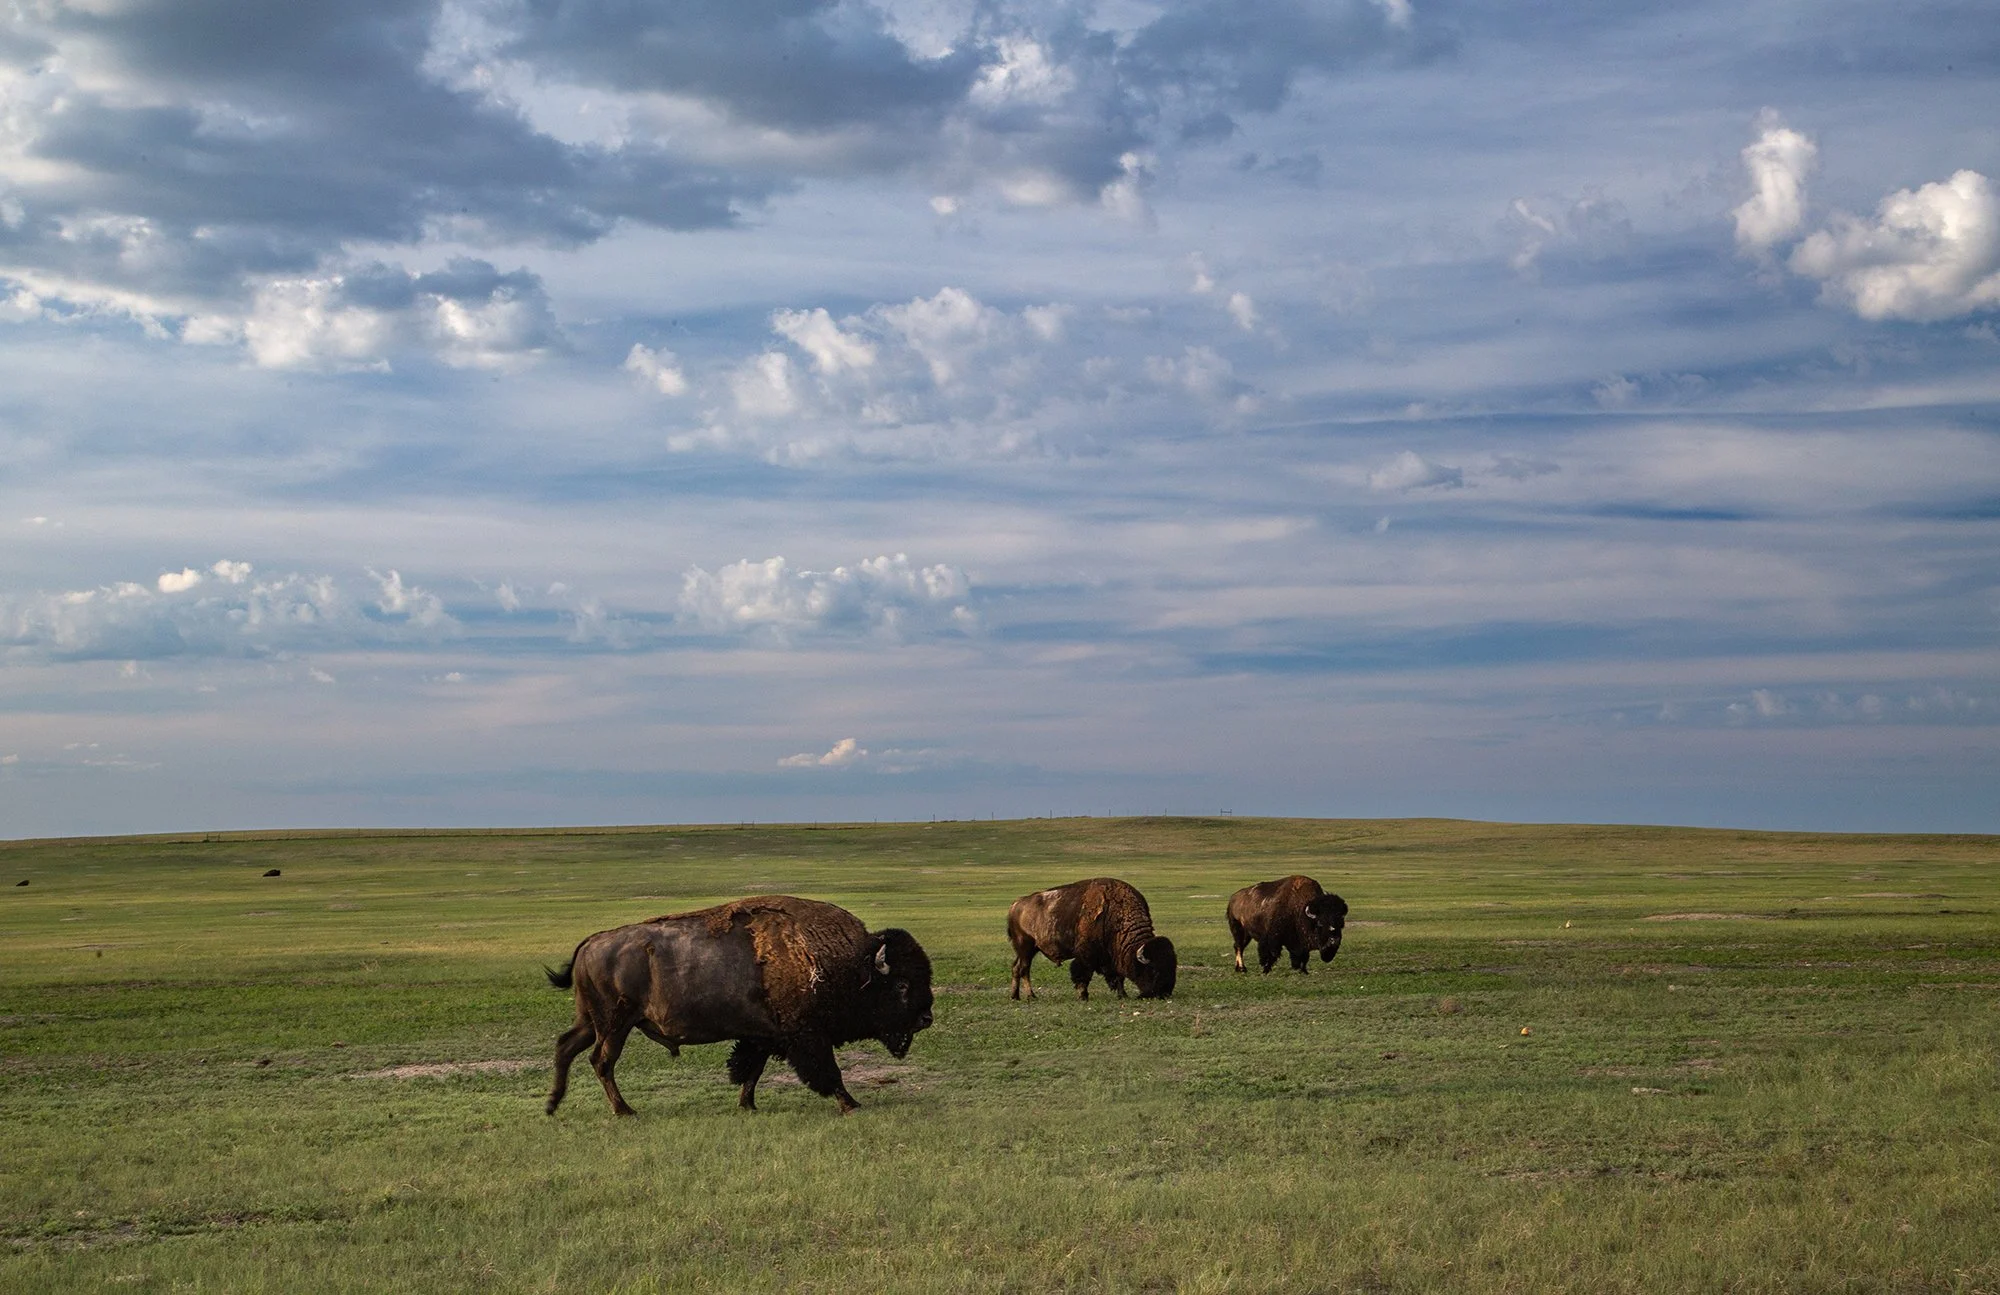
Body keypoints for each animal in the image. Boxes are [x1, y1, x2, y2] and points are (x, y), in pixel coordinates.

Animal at [544, 895, 933, 1117]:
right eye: (901, 984)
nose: (926, 1018)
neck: (851, 964)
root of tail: (591, 942)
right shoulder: (808, 1037)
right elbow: (829, 1073)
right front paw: (851, 1104)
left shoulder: (764, 1036)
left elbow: (751, 1070)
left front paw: (748, 1105)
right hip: (614, 1024)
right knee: (601, 1061)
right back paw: (624, 1110)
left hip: (590, 1021)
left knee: (566, 1048)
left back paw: (552, 1105)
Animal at [1008, 877, 1177, 1001]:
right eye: (1153, 970)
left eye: (1172, 967)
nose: (1165, 993)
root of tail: (1016, 904)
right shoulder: (1086, 954)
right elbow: (1084, 974)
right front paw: (1083, 996)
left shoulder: (1113, 956)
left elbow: (1118, 976)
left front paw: (1123, 995)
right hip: (1026, 948)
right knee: (1024, 969)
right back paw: (1030, 996)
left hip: (1028, 950)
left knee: (1017, 968)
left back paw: (1016, 996)